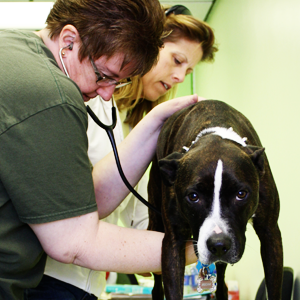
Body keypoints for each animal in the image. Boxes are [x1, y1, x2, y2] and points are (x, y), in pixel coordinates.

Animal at [148, 99, 284, 298]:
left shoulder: (270, 233)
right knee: (157, 285)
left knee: (221, 285)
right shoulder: (173, 242)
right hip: (156, 223)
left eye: (241, 194)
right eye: (193, 196)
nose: (218, 245)